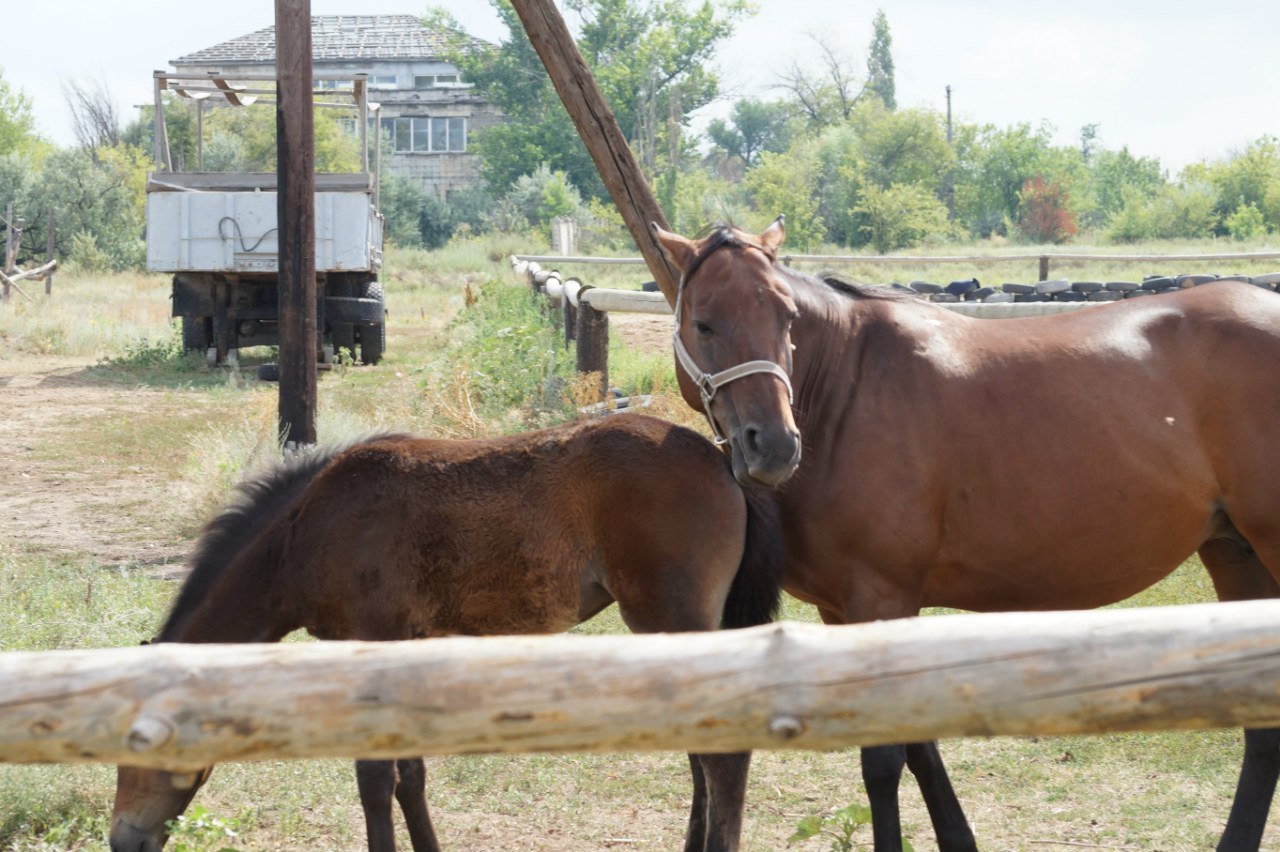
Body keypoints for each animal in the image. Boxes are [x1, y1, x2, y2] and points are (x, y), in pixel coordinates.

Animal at [110, 409, 783, 844]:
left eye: (138, 749)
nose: (123, 840)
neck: (305, 532)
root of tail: (722, 461)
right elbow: (411, 777)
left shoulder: (370, 646)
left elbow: (375, 780)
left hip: (667, 619)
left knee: (723, 758)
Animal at [655, 216, 1280, 844]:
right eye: (704, 322)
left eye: (786, 318)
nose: (776, 447)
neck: (844, 393)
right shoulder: (851, 613)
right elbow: (920, 747)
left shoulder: (883, 599)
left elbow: (885, 761)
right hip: (1238, 556)